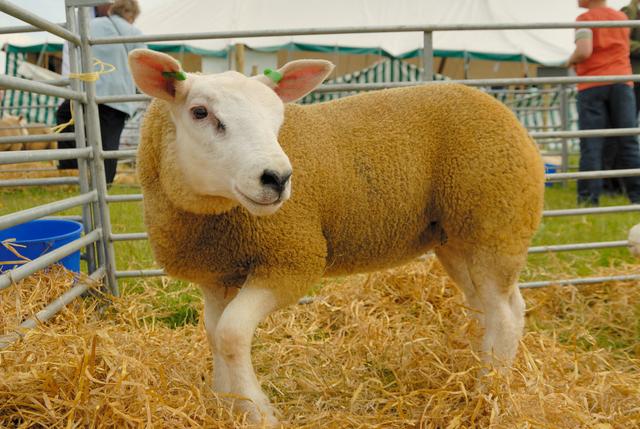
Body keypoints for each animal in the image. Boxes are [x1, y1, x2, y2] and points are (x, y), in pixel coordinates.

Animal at [129, 49, 544, 424]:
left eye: (278, 117)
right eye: (200, 112)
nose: (278, 178)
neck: (214, 215)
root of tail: (503, 111)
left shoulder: (292, 258)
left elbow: (231, 334)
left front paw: (258, 412)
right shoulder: (217, 274)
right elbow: (214, 333)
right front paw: (224, 404)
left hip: (495, 225)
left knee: (506, 314)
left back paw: (487, 393)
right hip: (457, 239)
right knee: (488, 307)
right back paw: (470, 370)